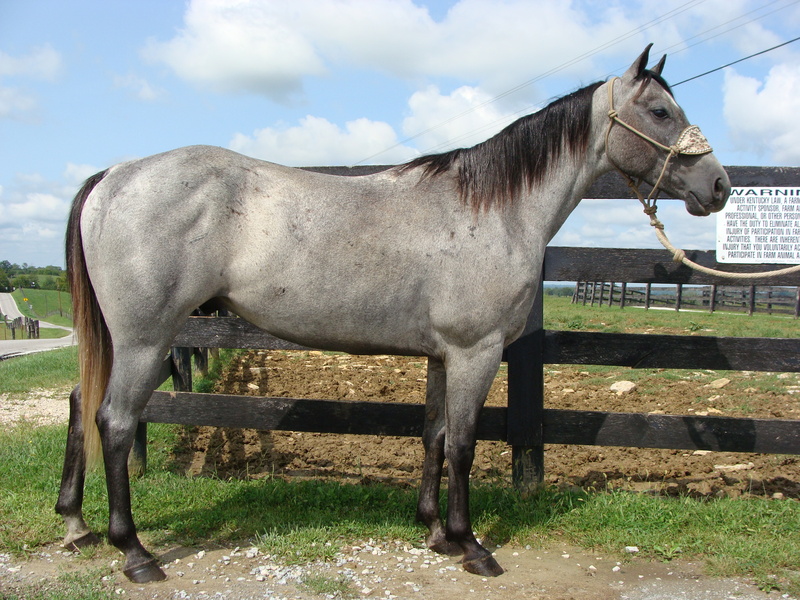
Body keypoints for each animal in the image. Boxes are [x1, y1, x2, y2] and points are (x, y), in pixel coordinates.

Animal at [56, 45, 730, 582]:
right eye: (661, 112)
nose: (719, 186)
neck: (494, 209)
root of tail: (116, 175)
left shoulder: (442, 356)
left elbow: (433, 436)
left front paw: (434, 532)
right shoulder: (475, 352)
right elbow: (463, 444)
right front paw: (471, 545)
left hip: (121, 340)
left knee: (81, 402)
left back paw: (75, 524)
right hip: (146, 339)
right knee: (115, 422)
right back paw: (134, 552)